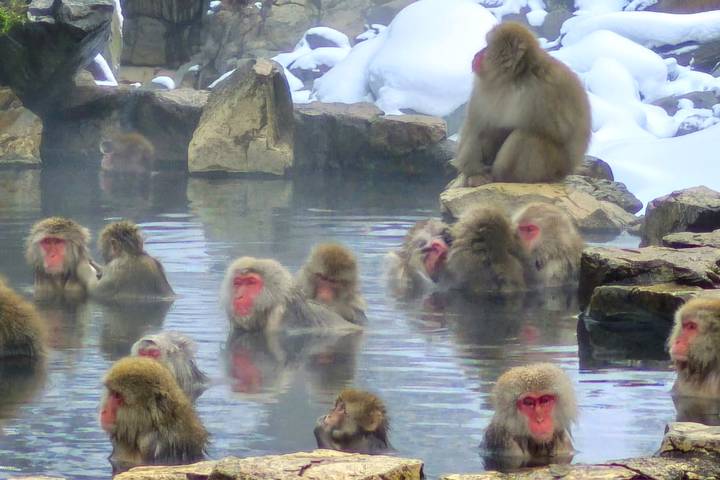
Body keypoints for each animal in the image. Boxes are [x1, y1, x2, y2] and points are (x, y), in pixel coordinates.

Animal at [453, 22, 591, 186]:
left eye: (488, 45)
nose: (477, 53)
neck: (515, 78)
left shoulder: (550, 88)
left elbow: (559, 133)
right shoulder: (482, 89)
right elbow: (476, 125)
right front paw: (474, 172)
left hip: (557, 166)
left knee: (527, 136)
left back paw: (505, 177)